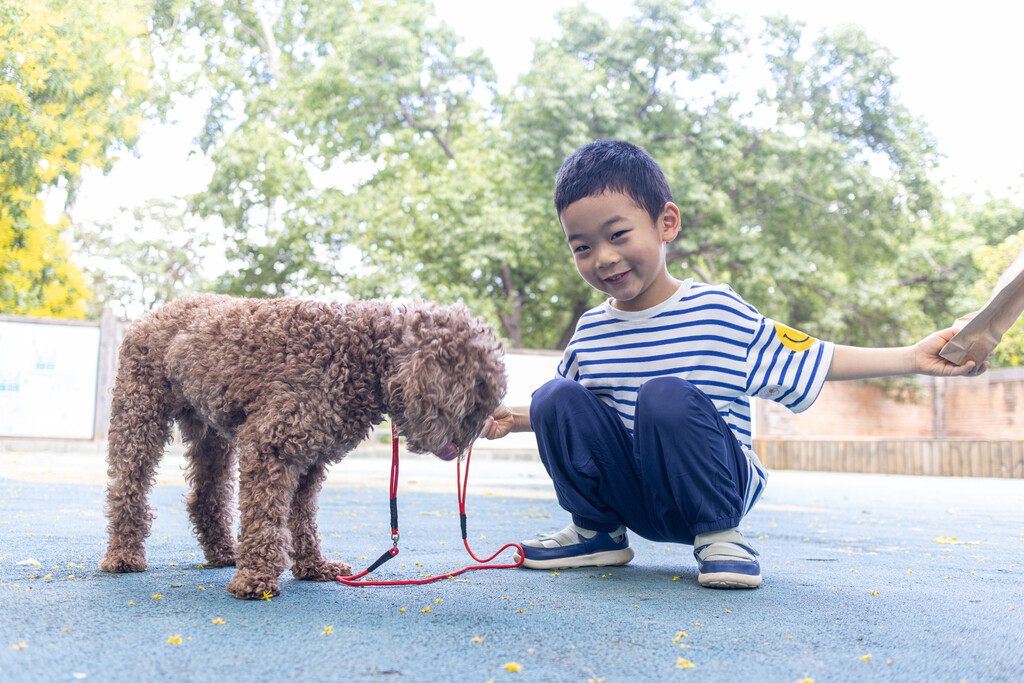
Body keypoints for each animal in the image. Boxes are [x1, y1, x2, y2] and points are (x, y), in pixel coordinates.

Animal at [97, 294, 505, 598]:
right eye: (470, 401)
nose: (477, 433)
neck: (363, 353)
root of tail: (152, 313)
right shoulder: (269, 444)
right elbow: (266, 517)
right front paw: (257, 579)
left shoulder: (309, 458)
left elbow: (303, 517)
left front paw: (312, 567)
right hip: (139, 414)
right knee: (127, 487)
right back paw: (123, 554)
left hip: (213, 434)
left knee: (206, 496)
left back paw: (225, 552)